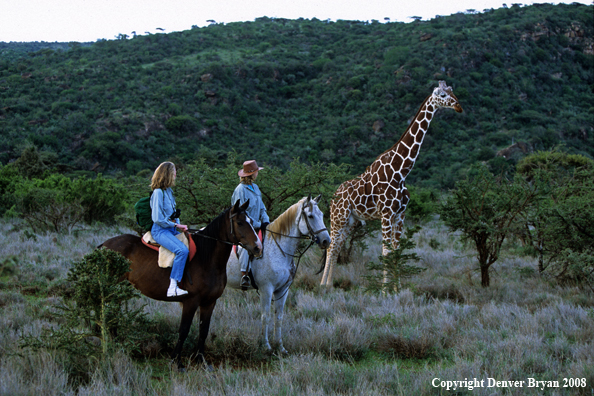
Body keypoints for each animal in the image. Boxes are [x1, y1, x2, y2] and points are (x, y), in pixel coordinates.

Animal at [98, 200, 260, 370]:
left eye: (251, 221)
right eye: (240, 222)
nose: (257, 247)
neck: (206, 260)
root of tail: (105, 245)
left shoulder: (209, 302)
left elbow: (204, 330)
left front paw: (201, 360)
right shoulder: (191, 301)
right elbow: (184, 330)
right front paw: (176, 361)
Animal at [225, 195, 330, 352]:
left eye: (322, 215)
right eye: (310, 216)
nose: (326, 240)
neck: (278, 249)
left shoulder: (283, 290)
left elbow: (279, 317)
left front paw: (280, 346)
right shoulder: (266, 290)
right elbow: (266, 316)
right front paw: (266, 346)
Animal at [320, 81, 462, 284]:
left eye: (452, 91)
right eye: (442, 94)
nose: (459, 106)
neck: (400, 171)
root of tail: (333, 197)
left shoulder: (400, 214)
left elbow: (396, 251)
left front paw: (397, 288)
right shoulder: (386, 214)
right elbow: (386, 252)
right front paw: (385, 289)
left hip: (350, 221)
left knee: (338, 246)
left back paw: (330, 284)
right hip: (338, 217)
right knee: (331, 247)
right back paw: (322, 285)